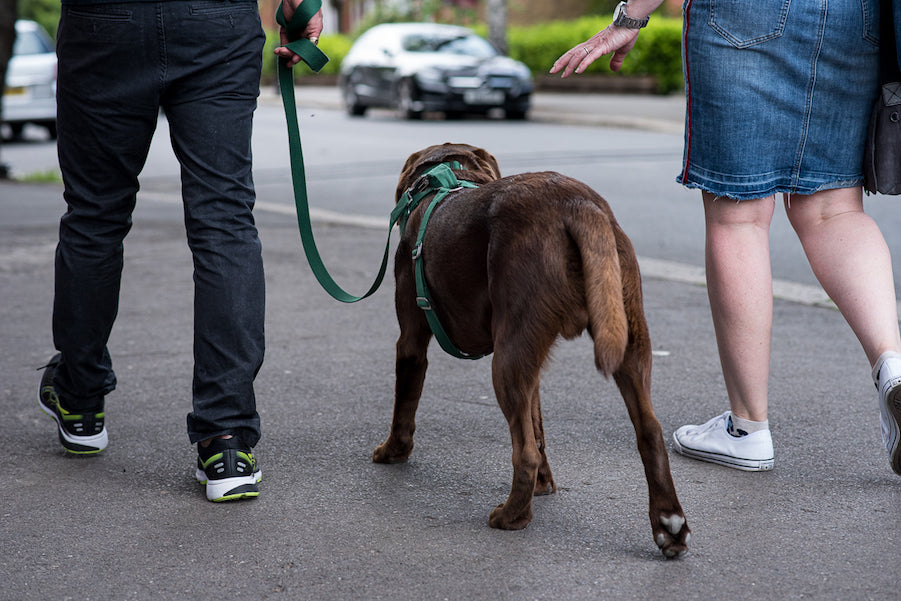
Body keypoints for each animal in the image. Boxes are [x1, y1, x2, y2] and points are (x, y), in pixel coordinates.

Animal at [372, 143, 688, 556]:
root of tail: (577, 204)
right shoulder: (532, 365)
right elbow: (537, 424)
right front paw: (544, 485)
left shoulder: (410, 340)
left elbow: (404, 403)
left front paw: (392, 451)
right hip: (624, 338)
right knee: (649, 432)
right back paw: (670, 525)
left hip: (505, 361)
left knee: (523, 453)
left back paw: (511, 517)